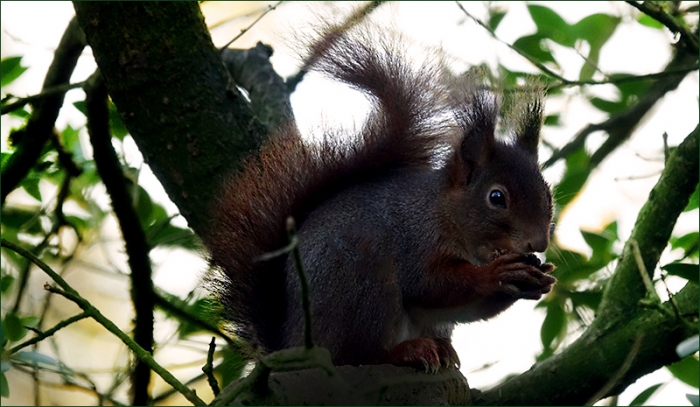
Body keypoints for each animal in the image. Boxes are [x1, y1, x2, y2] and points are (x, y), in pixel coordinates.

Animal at [202, 24, 556, 372]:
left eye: (548, 193)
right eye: (496, 197)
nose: (539, 243)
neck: (443, 213)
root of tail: (293, 342)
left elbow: (469, 308)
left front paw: (537, 277)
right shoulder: (416, 241)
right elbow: (431, 285)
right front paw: (496, 274)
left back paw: (442, 349)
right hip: (366, 289)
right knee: (360, 355)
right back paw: (407, 351)